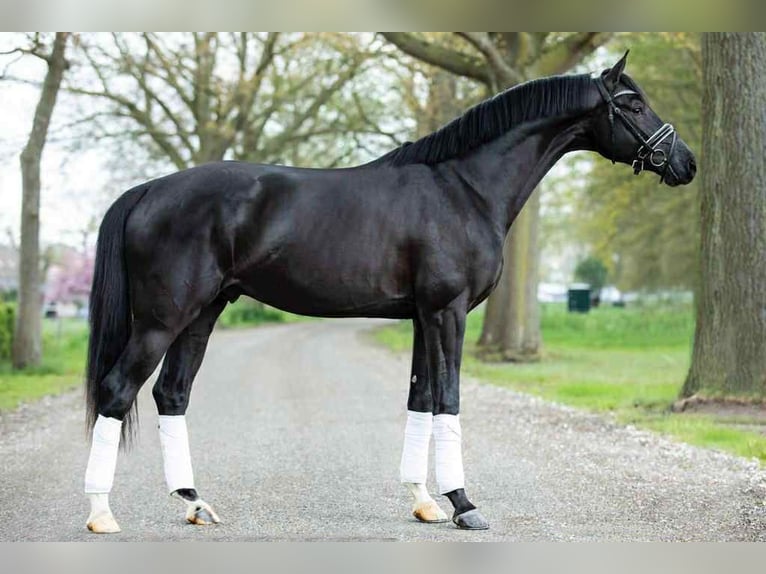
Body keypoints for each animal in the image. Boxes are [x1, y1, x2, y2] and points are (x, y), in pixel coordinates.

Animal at [82, 52, 696, 533]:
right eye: (632, 105)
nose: (685, 163)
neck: (466, 188)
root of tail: (149, 190)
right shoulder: (448, 312)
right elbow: (448, 398)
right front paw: (464, 504)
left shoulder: (424, 316)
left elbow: (420, 399)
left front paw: (425, 503)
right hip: (162, 318)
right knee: (117, 390)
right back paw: (101, 514)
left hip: (204, 311)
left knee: (172, 394)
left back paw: (194, 504)